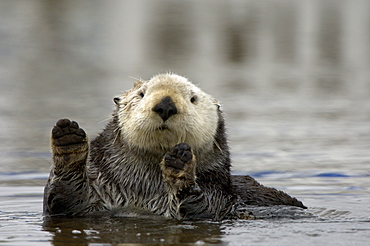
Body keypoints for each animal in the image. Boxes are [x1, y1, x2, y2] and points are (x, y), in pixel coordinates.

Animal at [42, 72, 306, 219]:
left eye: (193, 98)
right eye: (141, 93)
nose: (166, 104)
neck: (143, 187)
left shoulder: (217, 195)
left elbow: (199, 207)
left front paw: (180, 167)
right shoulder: (95, 189)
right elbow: (65, 197)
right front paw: (68, 140)